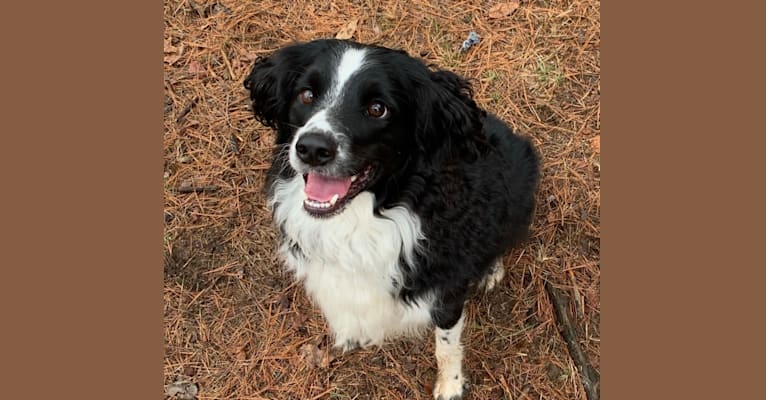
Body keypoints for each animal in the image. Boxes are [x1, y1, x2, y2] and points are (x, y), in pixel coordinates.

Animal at [246, 39, 540, 400]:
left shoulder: (446, 290)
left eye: (377, 108)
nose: (312, 148)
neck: (366, 215)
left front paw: (451, 385)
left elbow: (446, 345)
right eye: (306, 94)